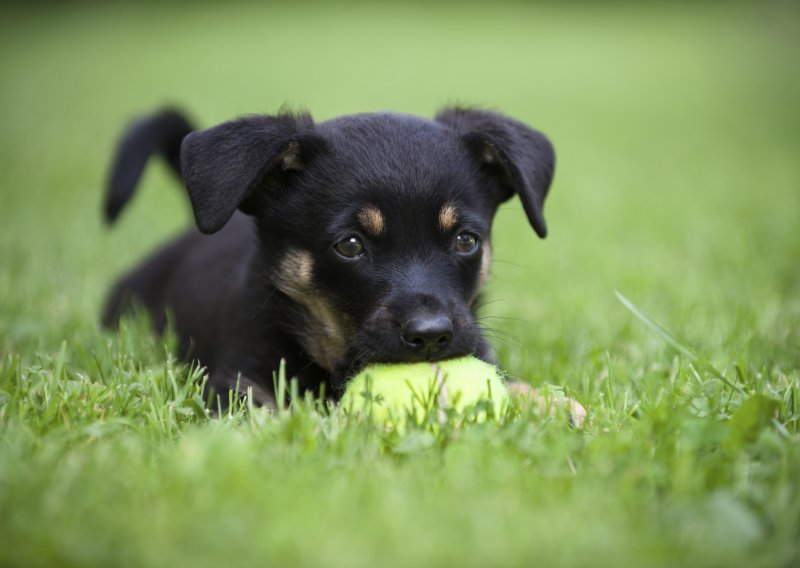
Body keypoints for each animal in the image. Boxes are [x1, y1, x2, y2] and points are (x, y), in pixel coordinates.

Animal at [101, 104, 564, 410]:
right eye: (351, 245)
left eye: (466, 241)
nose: (432, 336)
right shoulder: (236, 379)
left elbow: (524, 389)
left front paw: (558, 408)